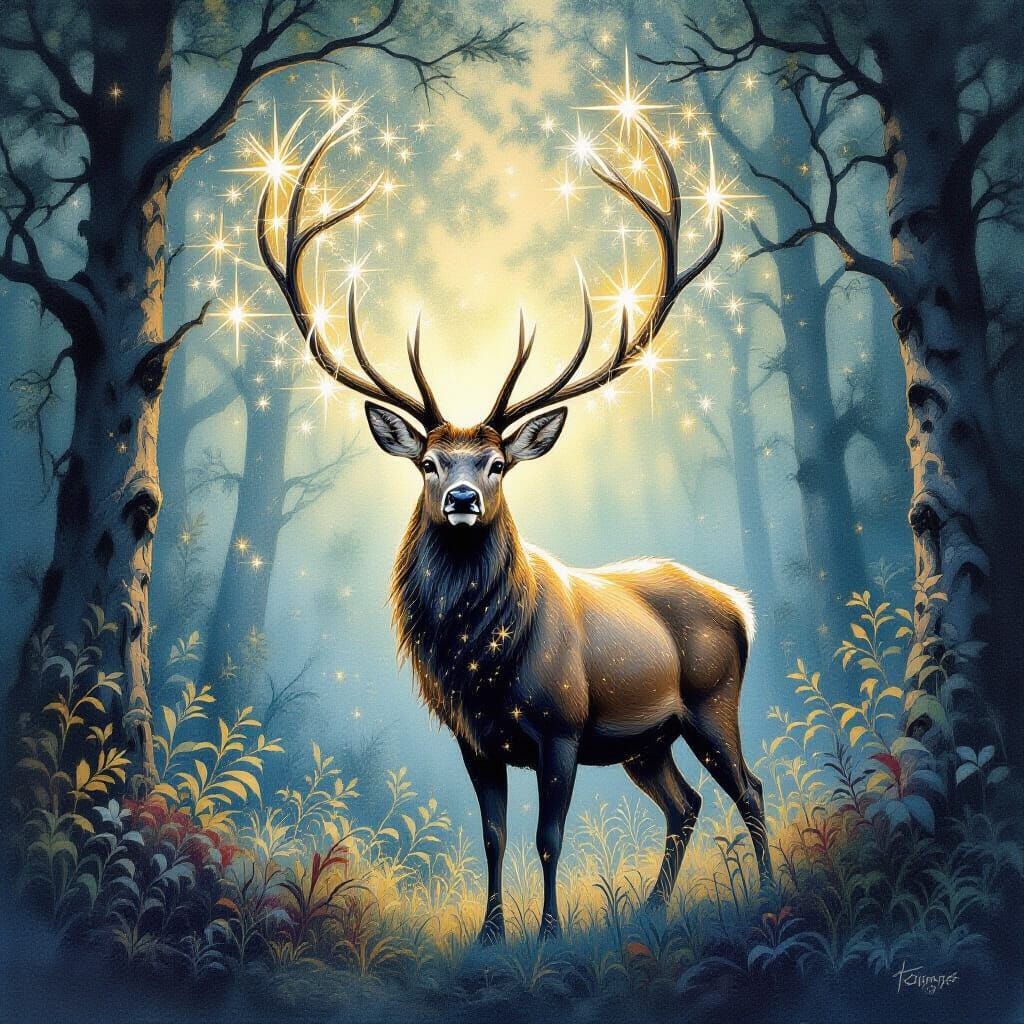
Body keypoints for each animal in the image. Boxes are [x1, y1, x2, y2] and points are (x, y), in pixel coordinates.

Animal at [254, 107, 770, 943]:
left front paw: (550, 934)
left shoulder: (562, 727)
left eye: (498, 464)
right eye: (429, 463)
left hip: (710, 702)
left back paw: (765, 888)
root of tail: (740, 605)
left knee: (748, 788)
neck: (484, 668)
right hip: (646, 742)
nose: (463, 498)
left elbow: (548, 837)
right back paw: (652, 911)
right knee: (687, 804)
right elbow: (493, 836)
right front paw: (493, 936)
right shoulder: (475, 740)